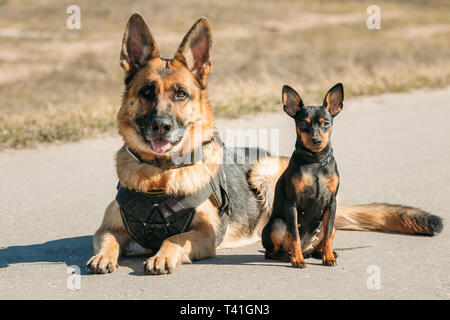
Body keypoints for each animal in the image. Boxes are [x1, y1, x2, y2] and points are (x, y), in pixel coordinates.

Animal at [262, 84, 342, 268]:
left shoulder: (331, 203)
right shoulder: (292, 204)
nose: (316, 140)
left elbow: (327, 236)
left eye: (326, 123)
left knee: (323, 240)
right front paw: (297, 260)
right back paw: (289, 255)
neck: (315, 161)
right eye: (303, 124)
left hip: (332, 225)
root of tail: (308, 250)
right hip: (276, 225)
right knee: (271, 253)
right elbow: (295, 236)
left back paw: (324, 253)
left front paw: (329, 257)